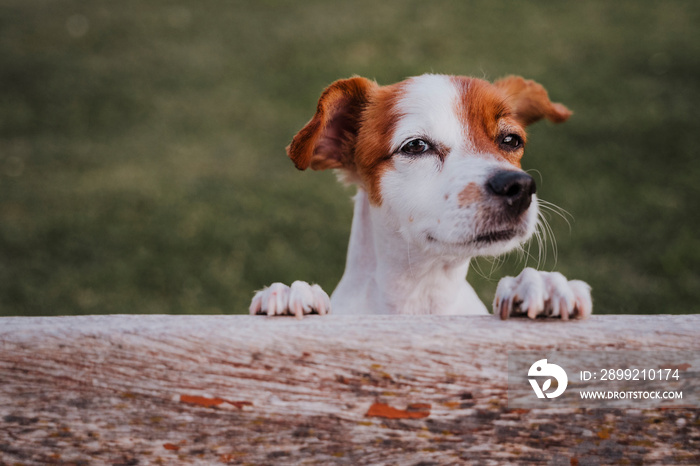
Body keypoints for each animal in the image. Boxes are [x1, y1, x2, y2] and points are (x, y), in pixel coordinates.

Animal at [250, 73, 592, 320]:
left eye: (511, 140)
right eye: (416, 146)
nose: (517, 185)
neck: (422, 292)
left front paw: (540, 284)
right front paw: (293, 293)